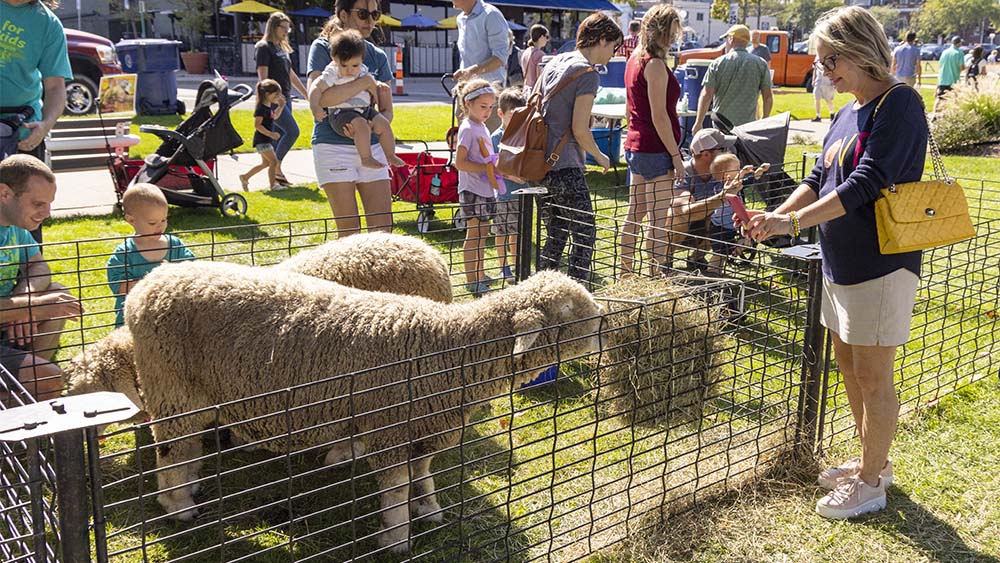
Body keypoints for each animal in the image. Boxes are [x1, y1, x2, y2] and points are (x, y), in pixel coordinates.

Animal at [126, 262, 600, 552]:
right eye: (568, 312)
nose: (606, 330)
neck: (450, 348)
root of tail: (149, 283)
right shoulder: (390, 431)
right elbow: (395, 491)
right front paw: (397, 538)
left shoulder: (420, 429)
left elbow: (422, 477)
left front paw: (430, 512)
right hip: (172, 385)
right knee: (171, 452)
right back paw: (178, 506)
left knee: (185, 449)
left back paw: (190, 489)